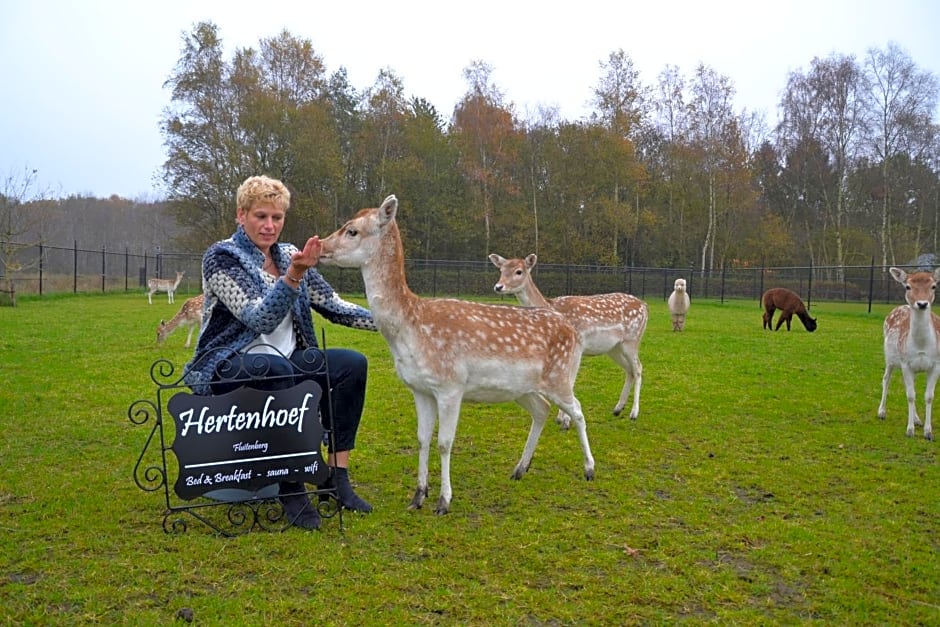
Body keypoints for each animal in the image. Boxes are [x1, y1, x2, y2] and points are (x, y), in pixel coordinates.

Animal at [316, 195, 596, 516]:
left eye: (352, 230)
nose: (320, 246)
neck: (411, 328)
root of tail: (573, 332)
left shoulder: (451, 385)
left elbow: (444, 442)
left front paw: (443, 501)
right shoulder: (420, 389)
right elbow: (423, 439)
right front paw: (418, 496)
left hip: (560, 376)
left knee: (577, 410)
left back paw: (589, 469)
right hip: (523, 388)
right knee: (542, 409)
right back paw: (519, 469)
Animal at [488, 254, 648, 426]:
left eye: (519, 271)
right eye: (501, 269)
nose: (498, 287)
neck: (551, 306)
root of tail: (645, 306)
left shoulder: (577, 345)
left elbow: (569, 380)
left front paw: (564, 420)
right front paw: (562, 418)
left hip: (632, 339)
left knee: (638, 367)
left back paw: (634, 413)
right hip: (614, 348)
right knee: (629, 370)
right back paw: (618, 409)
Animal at [872, 266, 940, 442]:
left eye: (933, 286)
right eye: (908, 286)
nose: (922, 304)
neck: (922, 346)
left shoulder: (936, 364)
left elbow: (928, 396)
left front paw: (928, 432)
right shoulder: (905, 363)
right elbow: (910, 395)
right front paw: (909, 431)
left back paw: (917, 419)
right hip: (890, 358)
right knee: (886, 379)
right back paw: (881, 412)